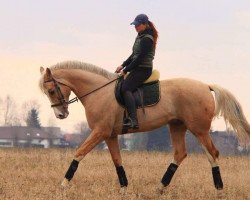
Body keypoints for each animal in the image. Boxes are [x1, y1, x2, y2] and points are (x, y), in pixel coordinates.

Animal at [38, 60, 249, 192]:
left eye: (51, 90)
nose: (61, 115)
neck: (98, 92)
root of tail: (206, 86)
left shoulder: (99, 132)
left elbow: (79, 153)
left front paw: (63, 184)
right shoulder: (110, 135)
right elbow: (117, 161)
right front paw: (124, 188)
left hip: (199, 129)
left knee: (212, 153)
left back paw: (219, 189)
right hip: (177, 126)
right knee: (180, 154)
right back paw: (160, 188)